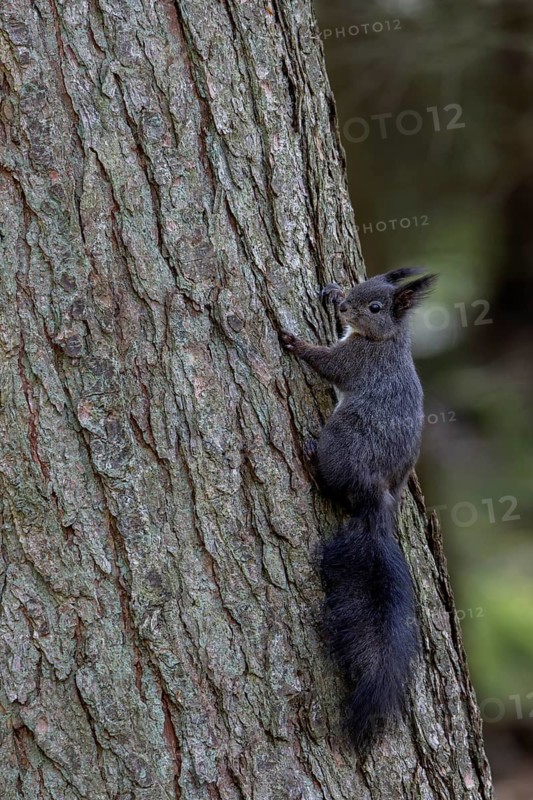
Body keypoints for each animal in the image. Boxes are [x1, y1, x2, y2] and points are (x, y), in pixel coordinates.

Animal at [280, 267, 437, 751]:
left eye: (376, 307)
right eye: (363, 285)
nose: (346, 305)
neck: (385, 340)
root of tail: (376, 499)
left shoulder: (357, 361)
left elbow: (329, 364)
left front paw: (295, 342)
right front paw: (330, 292)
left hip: (344, 438)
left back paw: (312, 462)